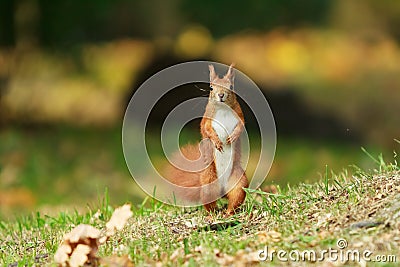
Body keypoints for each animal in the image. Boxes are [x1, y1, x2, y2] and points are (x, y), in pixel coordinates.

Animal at [165, 63, 247, 217]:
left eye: (231, 86)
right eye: (211, 88)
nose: (221, 95)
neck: (223, 109)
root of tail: (222, 192)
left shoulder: (239, 115)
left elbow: (241, 126)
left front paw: (233, 137)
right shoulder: (208, 118)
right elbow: (206, 129)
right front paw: (217, 142)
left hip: (239, 182)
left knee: (236, 196)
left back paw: (228, 212)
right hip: (209, 182)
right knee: (209, 203)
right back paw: (213, 214)